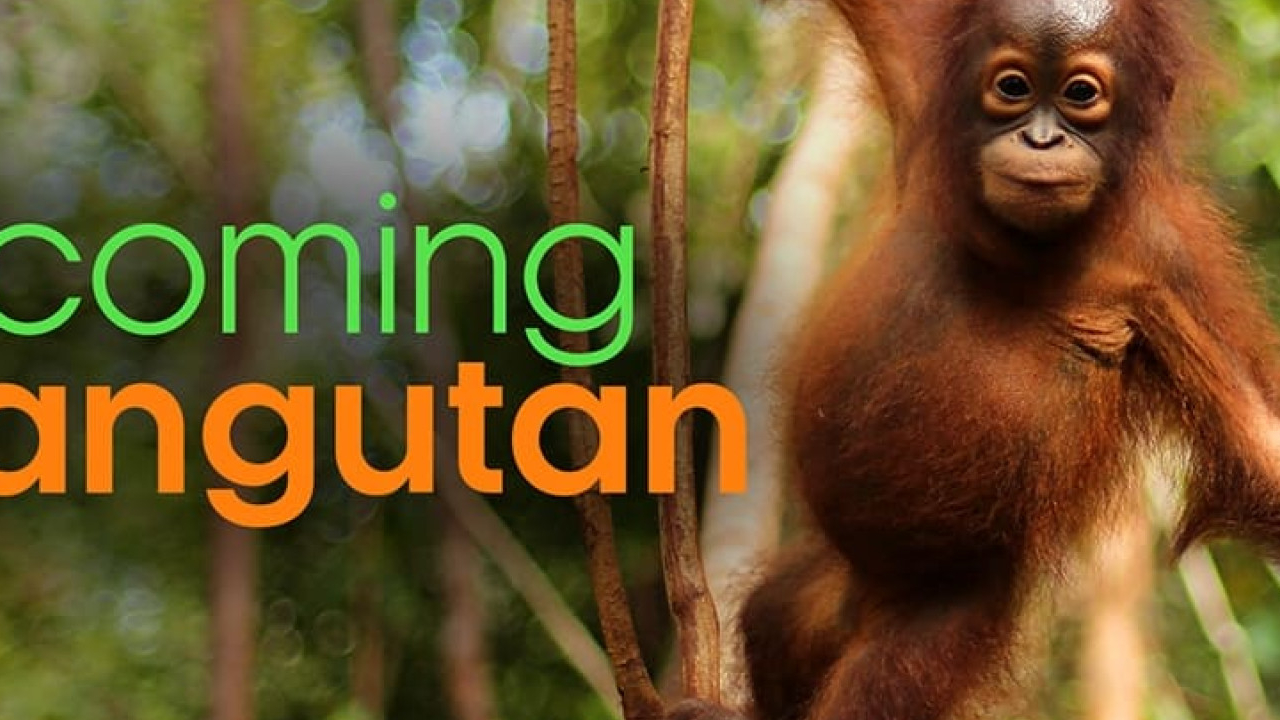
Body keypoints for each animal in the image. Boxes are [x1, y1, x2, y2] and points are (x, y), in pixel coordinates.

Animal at [671, 0, 1280, 718]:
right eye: (1012, 86)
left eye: (1081, 94)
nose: (1042, 141)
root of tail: (867, 601)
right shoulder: (918, 83)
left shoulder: (1171, 263)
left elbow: (1258, 442)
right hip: (822, 591)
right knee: (772, 618)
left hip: (940, 628)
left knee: (880, 690)